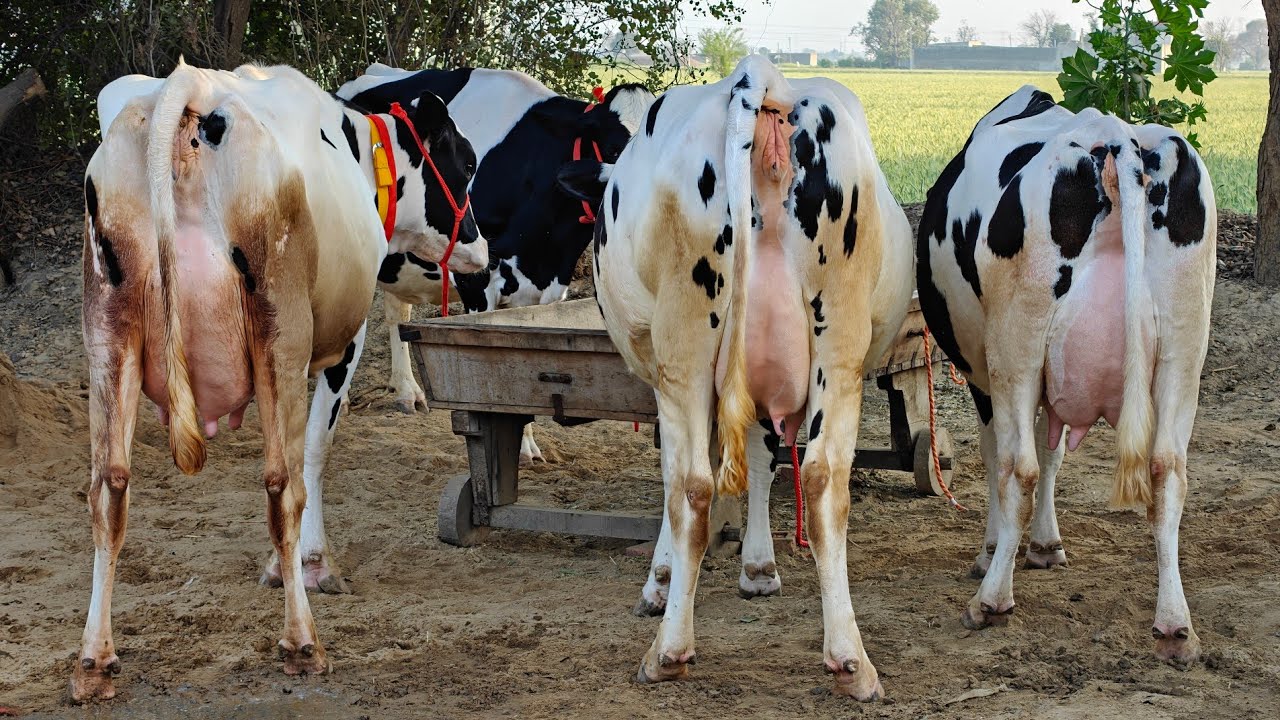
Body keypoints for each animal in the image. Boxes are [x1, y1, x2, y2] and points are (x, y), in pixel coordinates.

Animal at [74, 59, 485, 702]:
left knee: (108, 490)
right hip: (280, 335)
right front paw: (312, 564)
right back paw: (302, 642)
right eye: (465, 164)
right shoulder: (341, 342)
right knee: (280, 484)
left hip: (109, 337)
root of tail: (189, 88)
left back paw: (94, 660)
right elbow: (317, 448)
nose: (483, 248)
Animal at [335, 65, 653, 462]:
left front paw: (526, 445)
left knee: (396, 312)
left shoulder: (549, 288)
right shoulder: (476, 277)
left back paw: (408, 392)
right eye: (613, 149)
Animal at [565, 55, 914, 698]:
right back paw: (850, 659)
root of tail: (759, 77)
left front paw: (660, 581)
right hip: (839, 347)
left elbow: (676, 471)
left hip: (685, 346)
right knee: (823, 479)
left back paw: (669, 650)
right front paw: (758, 566)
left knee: (692, 486)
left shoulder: (665, 376)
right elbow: (761, 455)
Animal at [916, 85, 1216, 666]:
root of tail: (1116, 136)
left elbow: (1003, 455)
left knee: (1018, 468)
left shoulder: (986, 373)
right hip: (1184, 347)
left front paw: (996, 552)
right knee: (1168, 470)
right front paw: (1046, 545)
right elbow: (1053, 451)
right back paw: (1175, 625)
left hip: (1017, 344)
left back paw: (990, 601)